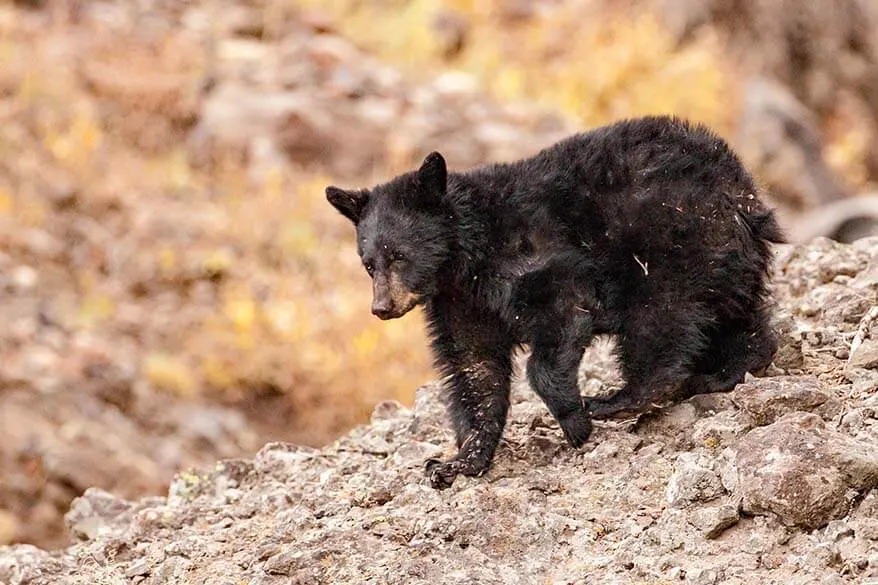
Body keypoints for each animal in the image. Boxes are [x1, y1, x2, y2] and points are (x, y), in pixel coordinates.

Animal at [328, 115, 784, 488]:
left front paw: (574, 420)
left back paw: (619, 399)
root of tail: (740, 186)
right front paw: (458, 461)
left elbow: (560, 319)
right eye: (368, 263)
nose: (381, 307)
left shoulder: (537, 256)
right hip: (723, 256)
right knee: (734, 313)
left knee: (662, 319)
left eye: (399, 255)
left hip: (670, 241)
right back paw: (730, 369)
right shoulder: (461, 303)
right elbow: (475, 369)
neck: (466, 258)